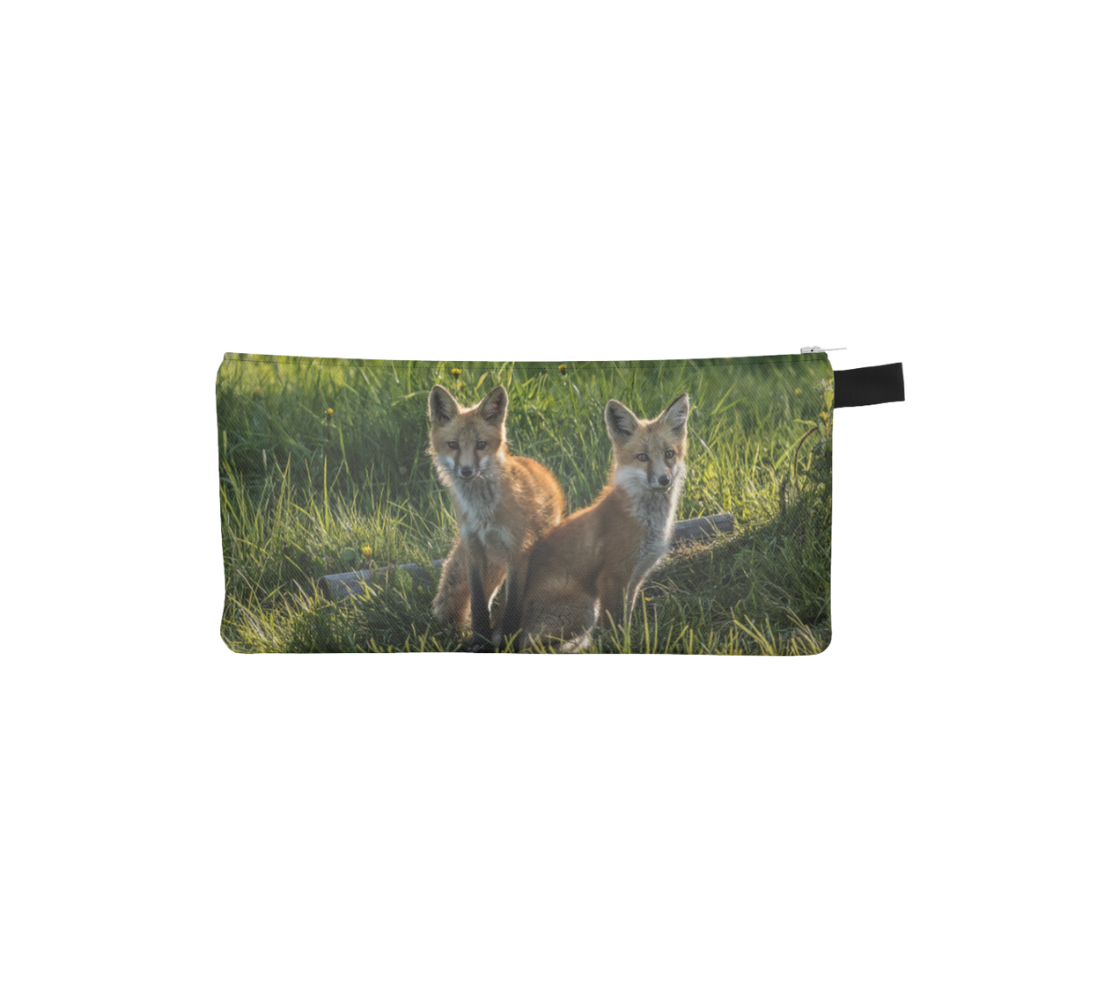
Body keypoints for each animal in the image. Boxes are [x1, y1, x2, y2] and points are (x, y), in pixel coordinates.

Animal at [428, 384, 564, 650]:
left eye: (481, 444)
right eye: (453, 445)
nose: (466, 470)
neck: (483, 512)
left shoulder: (517, 554)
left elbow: (512, 608)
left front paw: (507, 642)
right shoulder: (473, 549)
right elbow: (479, 605)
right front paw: (480, 640)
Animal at [511, 392, 690, 652]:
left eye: (669, 454)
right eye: (642, 457)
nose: (664, 479)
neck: (648, 522)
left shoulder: (635, 578)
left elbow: (625, 619)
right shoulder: (612, 576)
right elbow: (613, 627)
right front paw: (619, 646)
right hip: (586, 609)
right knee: (534, 646)